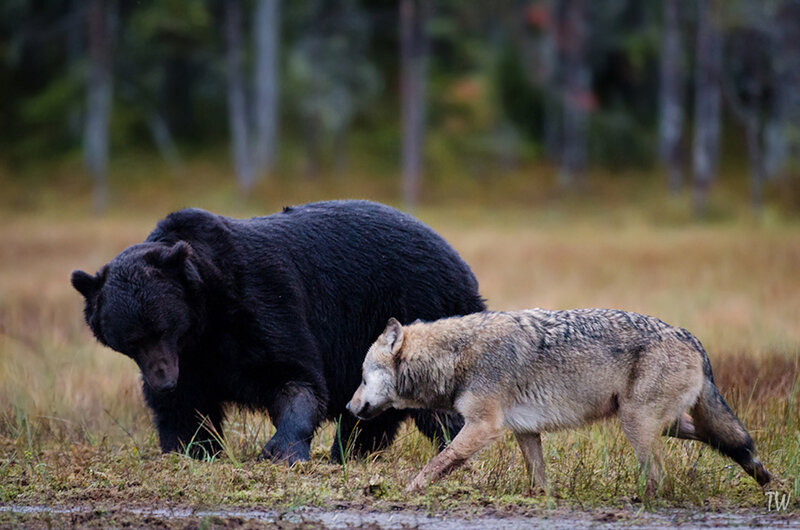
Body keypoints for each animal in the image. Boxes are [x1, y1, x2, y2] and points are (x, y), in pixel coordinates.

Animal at [71, 200, 486, 463]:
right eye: (130, 340)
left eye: (162, 327)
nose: (163, 379)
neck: (206, 318)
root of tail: (461, 263)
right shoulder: (194, 358)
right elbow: (187, 408)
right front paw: (192, 449)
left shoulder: (260, 302)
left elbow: (294, 376)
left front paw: (279, 450)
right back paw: (348, 453)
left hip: (418, 306)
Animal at [347, 309, 772, 495]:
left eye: (363, 377)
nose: (349, 409)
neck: (456, 356)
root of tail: (690, 336)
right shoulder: (524, 431)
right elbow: (538, 477)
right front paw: (541, 500)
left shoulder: (483, 427)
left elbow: (438, 463)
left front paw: (408, 490)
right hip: (661, 424)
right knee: (724, 440)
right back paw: (762, 474)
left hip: (637, 424)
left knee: (660, 474)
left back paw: (644, 500)